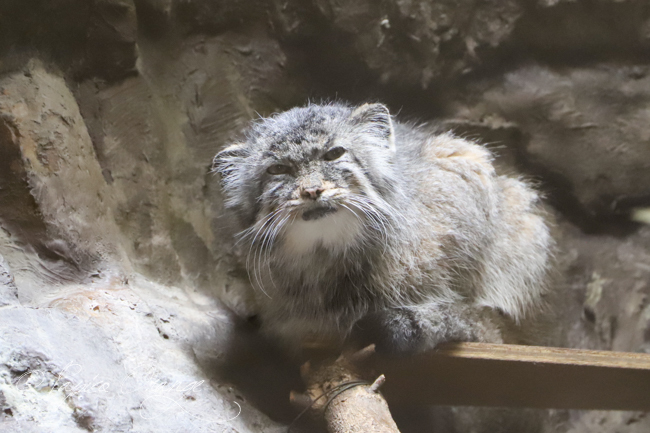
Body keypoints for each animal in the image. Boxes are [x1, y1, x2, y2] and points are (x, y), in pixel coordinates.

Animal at [214, 102, 552, 354]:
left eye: (334, 153)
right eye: (277, 170)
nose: (311, 190)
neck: (331, 258)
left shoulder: (466, 163)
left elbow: (479, 320)